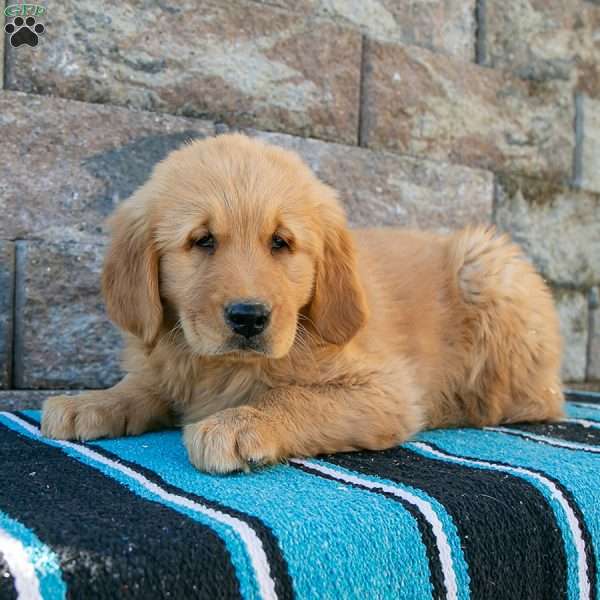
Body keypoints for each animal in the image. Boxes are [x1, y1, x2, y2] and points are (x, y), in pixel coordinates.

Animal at [41, 132, 564, 474]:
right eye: (202, 240)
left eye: (281, 242)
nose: (248, 318)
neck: (221, 368)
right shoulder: (166, 363)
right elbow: (143, 386)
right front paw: (92, 401)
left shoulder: (386, 389)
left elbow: (295, 395)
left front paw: (238, 422)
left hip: (486, 265)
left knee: (526, 401)